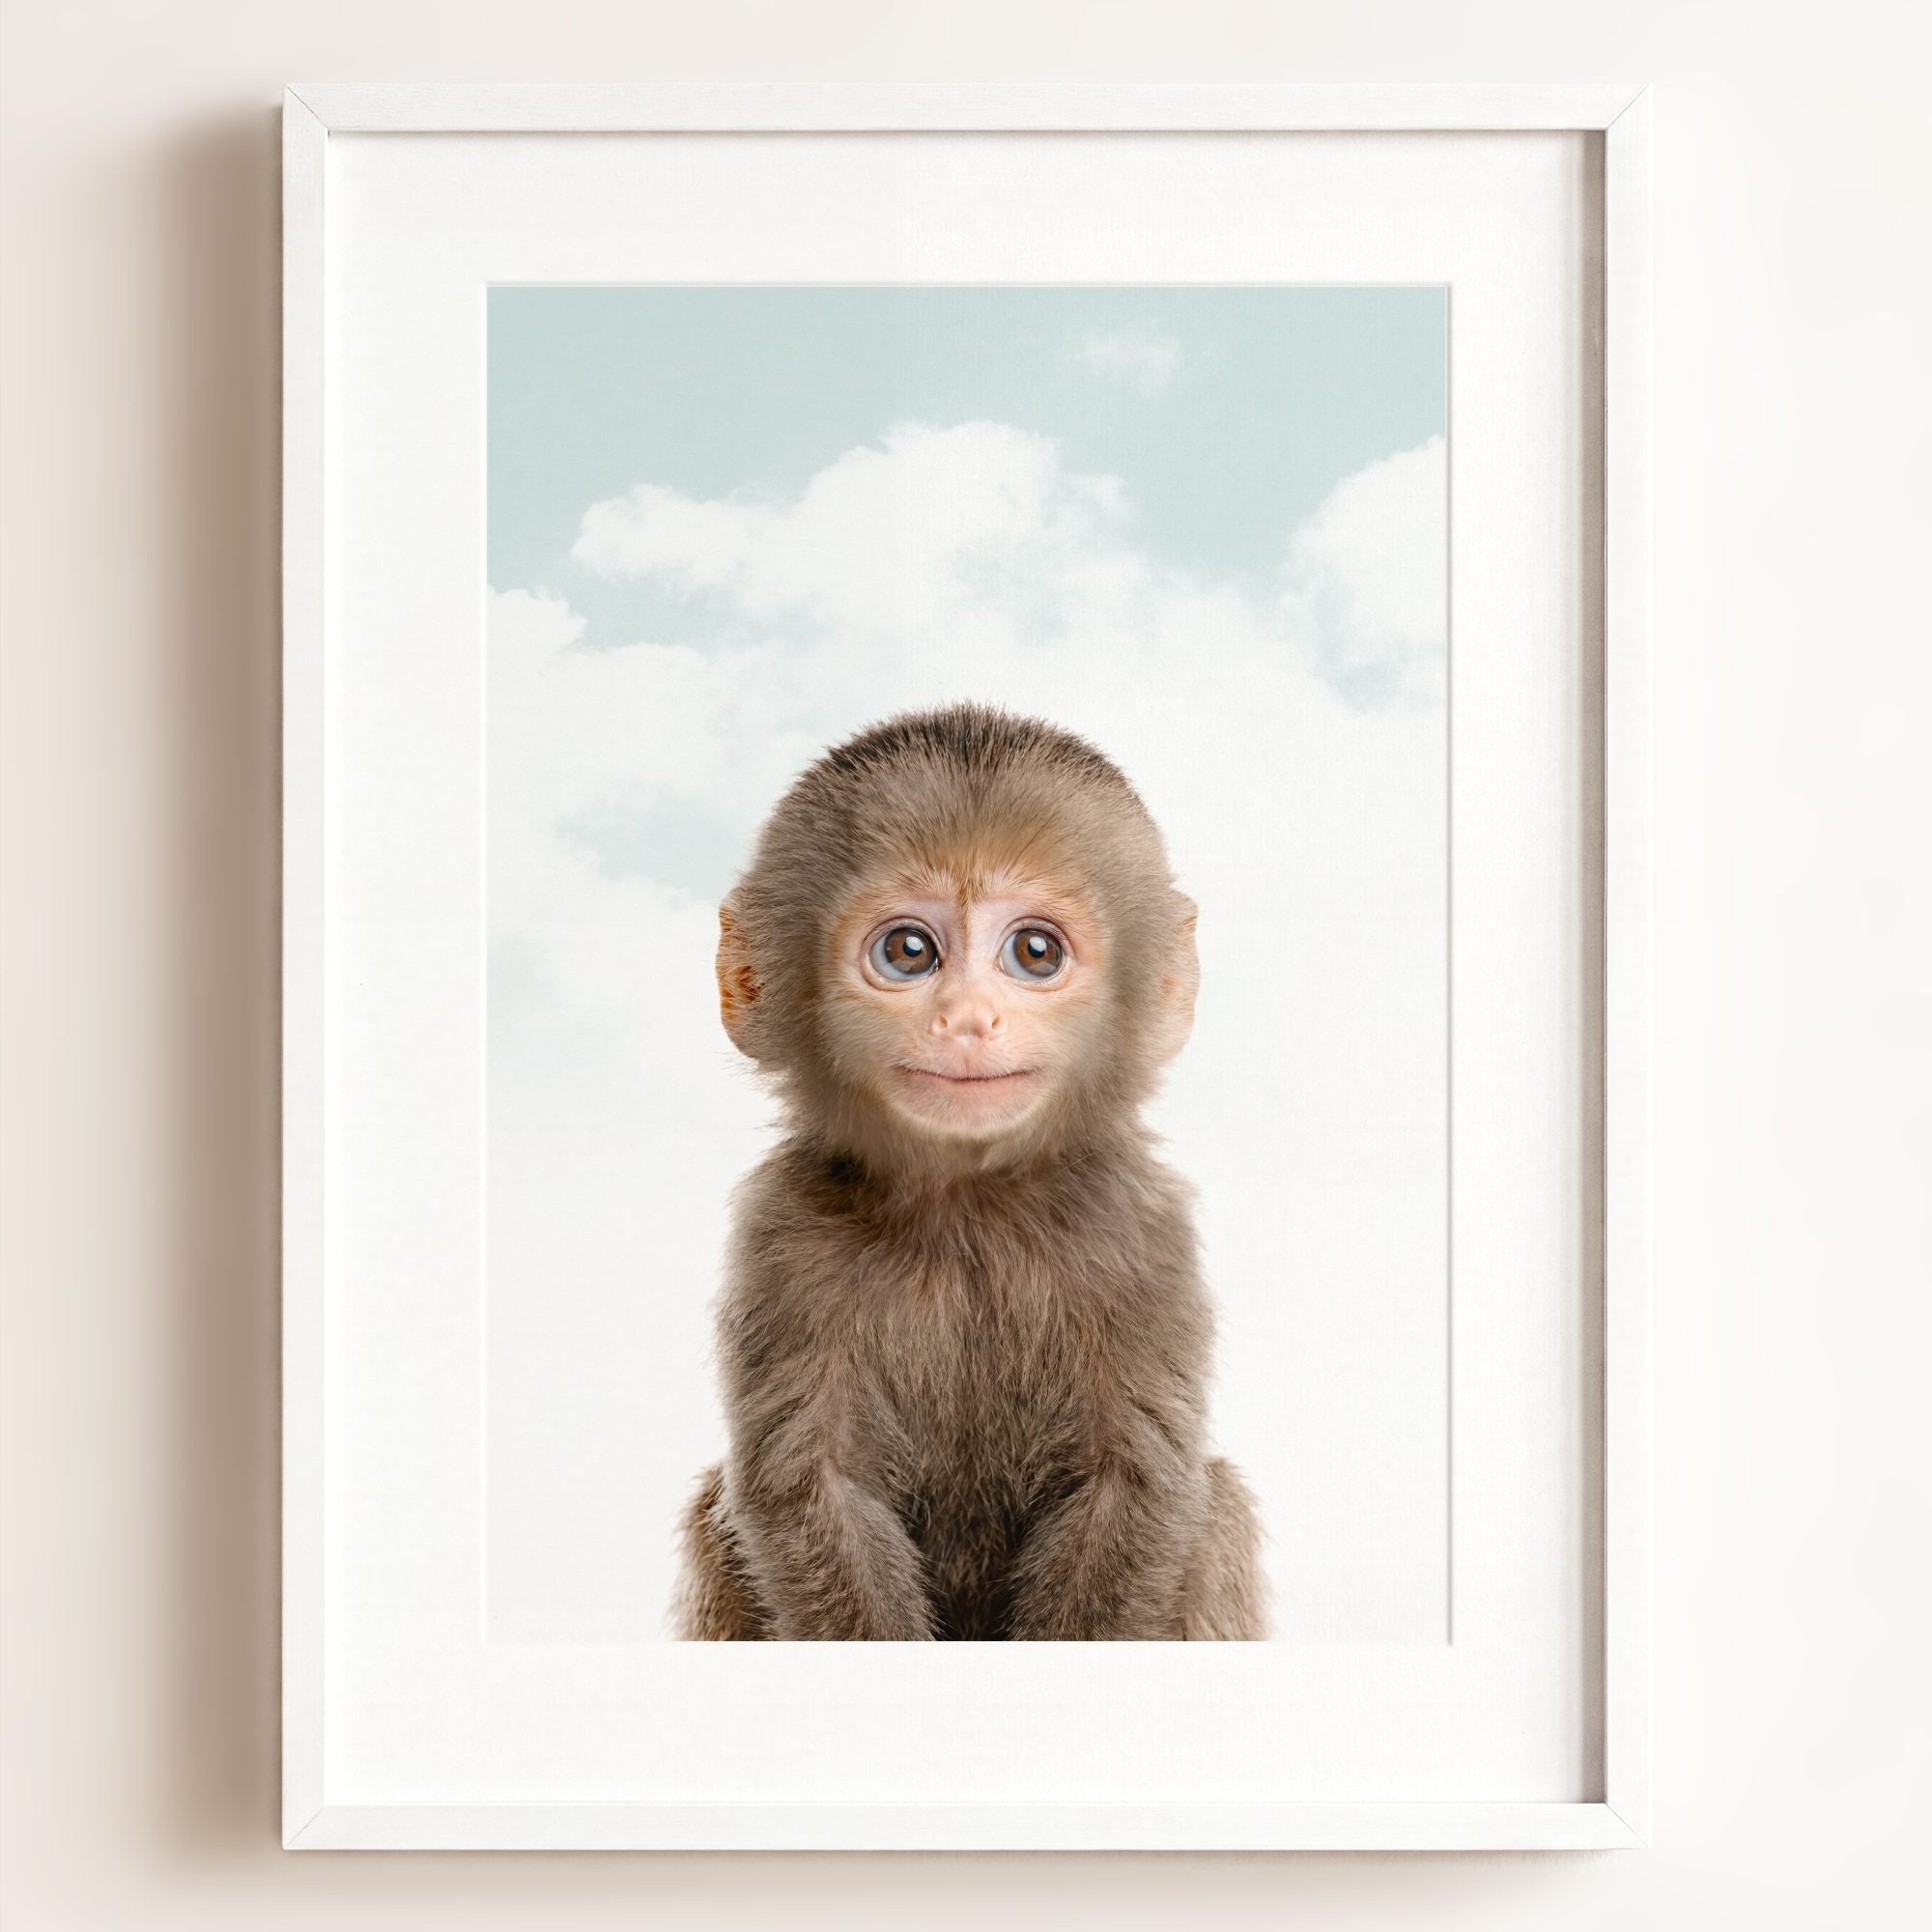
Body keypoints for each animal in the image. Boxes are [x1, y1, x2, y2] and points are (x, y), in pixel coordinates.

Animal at [673, 703, 1266, 1640]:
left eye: (1035, 952)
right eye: (910, 952)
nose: (968, 1019)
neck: (968, 1207)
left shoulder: (1142, 1231)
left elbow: (1133, 1484)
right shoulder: (781, 1233)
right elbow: (813, 1489)